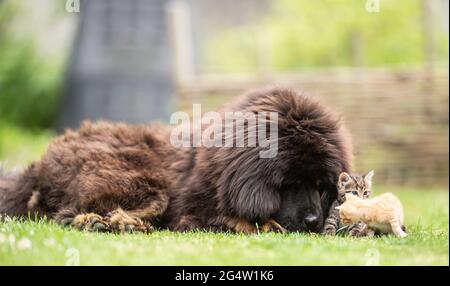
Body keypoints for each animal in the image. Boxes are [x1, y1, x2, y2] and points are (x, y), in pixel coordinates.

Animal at [0, 87, 352, 235]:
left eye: (322, 187)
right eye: (289, 184)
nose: (313, 221)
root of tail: (37, 167)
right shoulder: (190, 212)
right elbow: (232, 220)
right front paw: (264, 224)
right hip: (145, 182)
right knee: (65, 214)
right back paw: (107, 223)